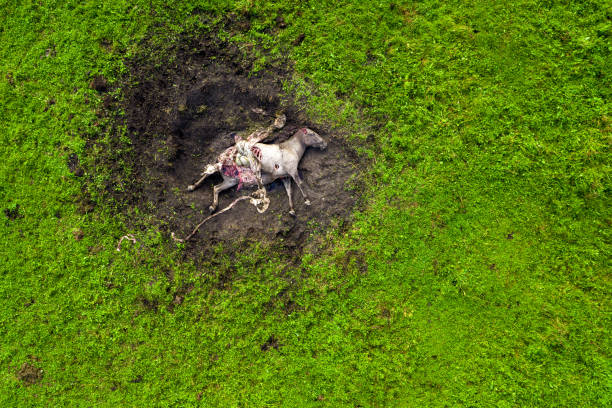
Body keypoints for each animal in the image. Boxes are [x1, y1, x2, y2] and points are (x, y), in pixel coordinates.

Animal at [189, 122, 328, 215]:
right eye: (312, 134)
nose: (325, 144)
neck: (291, 149)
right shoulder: (293, 171)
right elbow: (300, 184)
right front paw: (307, 201)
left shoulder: (285, 177)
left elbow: (289, 191)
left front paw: (292, 210)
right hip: (228, 169)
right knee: (211, 177)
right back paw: (203, 197)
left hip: (230, 180)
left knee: (215, 185)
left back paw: (202, 195)